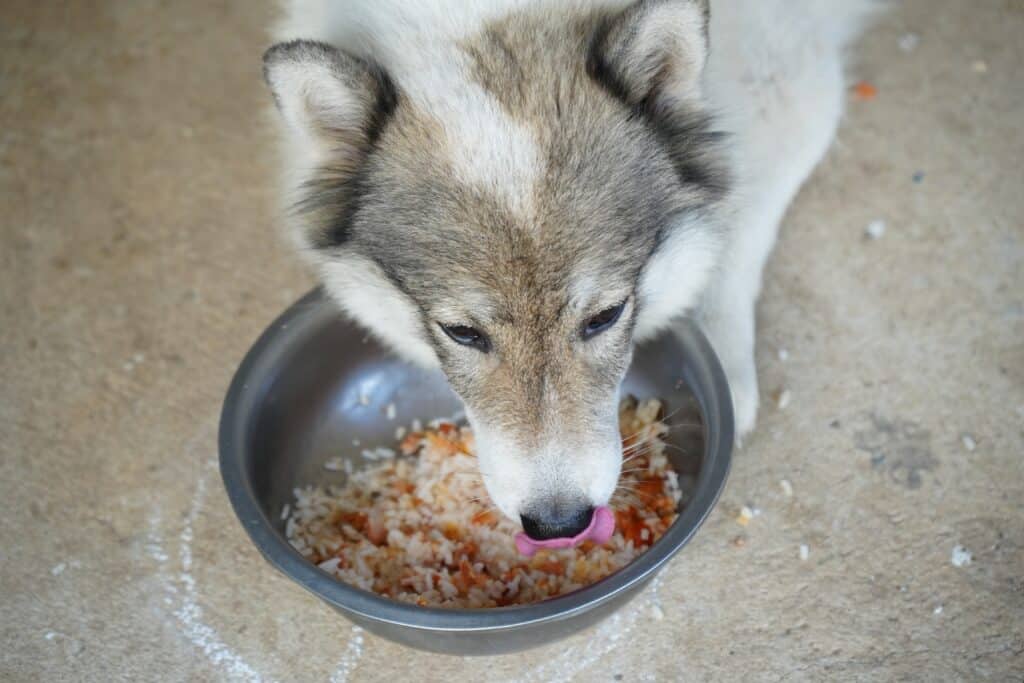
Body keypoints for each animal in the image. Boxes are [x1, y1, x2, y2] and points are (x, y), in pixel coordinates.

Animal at [264, 0, 872, 540]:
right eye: (461, 333)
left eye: (606, 316)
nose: (559, 524)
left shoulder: (790, 80)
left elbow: (738, 216)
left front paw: (724, 362)